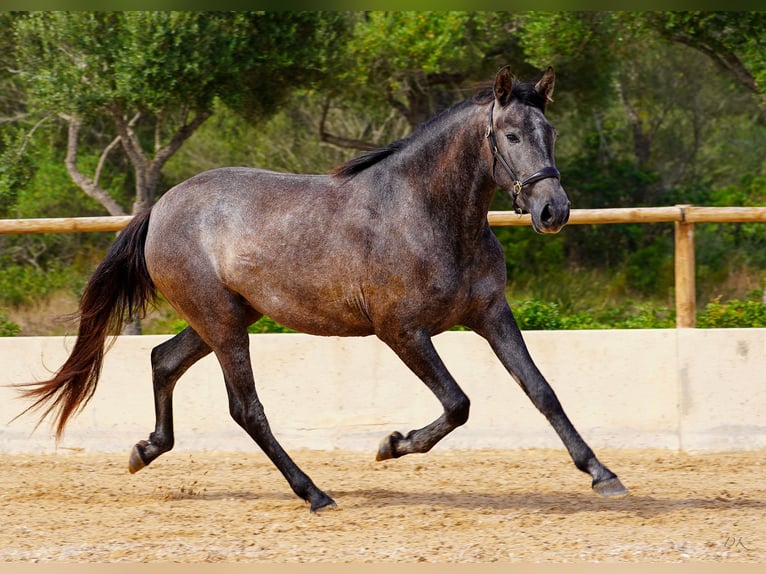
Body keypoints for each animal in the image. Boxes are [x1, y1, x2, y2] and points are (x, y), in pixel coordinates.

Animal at [16, 67, 632, 512]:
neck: (426, 213)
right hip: (222, 323)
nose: (553, 211)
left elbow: (542, 391)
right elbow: (458, 403)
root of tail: (161, 207)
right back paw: (314, 493)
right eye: (510, 135)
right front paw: (391, 444)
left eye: (550, 133)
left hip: (223, 318)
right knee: (246, 408)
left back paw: (144, 450)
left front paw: (603, 475)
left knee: (163, 361)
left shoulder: (491, 314)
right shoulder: (401, 331)